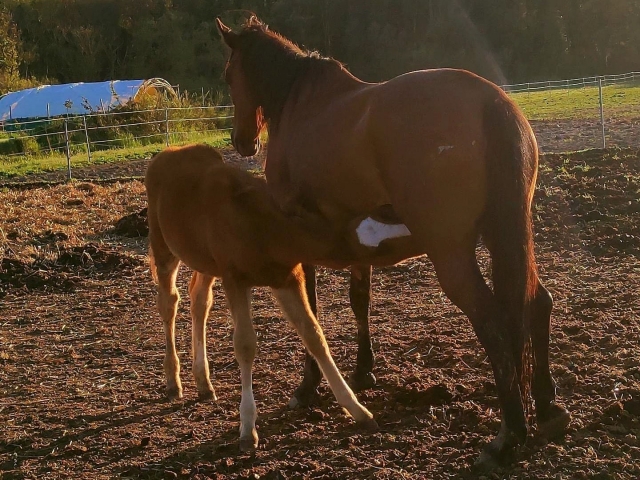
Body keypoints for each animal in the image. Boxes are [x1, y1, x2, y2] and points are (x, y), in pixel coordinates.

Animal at [145, 144, 377, 451]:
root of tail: (167, 152)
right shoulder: (235, 279)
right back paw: (173, 379)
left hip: (205, 262)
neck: (262, 224)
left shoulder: (287, 278)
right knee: (168, 302)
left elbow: (314, 334)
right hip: (163, 247)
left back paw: (203, 382)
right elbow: (245, 345)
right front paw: (247, 428)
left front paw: (357, 409)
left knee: (199, 300)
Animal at [216, 16, 571, 468]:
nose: (241, 141)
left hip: (452, 253)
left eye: (229, 75)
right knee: (537, 302)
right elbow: (360, 299)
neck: (301, 105)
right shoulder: (352, 236)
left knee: (491, 320)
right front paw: (364, 370)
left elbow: (309, 313)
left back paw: (508, 436)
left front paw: (308, 386)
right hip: (505, 234)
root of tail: (490, 101)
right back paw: (547, 406)